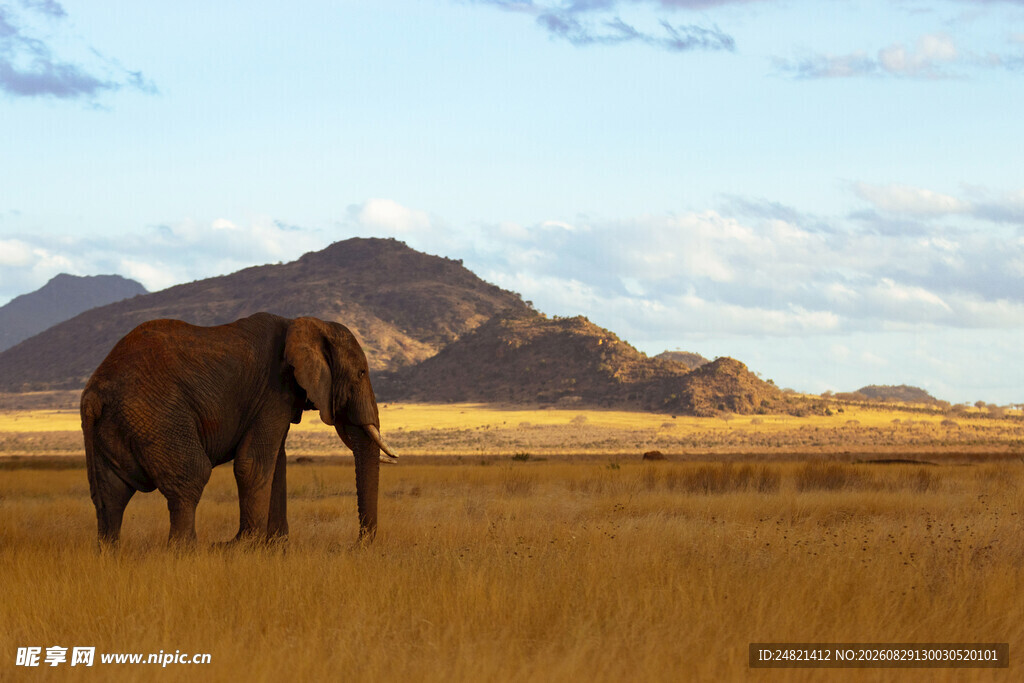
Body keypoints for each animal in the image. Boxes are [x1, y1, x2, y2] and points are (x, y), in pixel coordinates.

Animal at [80, 312, 397, 548]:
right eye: (361, 373)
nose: (355, 545)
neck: (306, 323)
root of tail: (95, 393)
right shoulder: (273, 391)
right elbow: (254, 464)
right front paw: (244, 547)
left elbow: (276, 464)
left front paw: (276, 549)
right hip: (157, 416)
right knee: (192, 477)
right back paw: (188, 552)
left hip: (115, 425)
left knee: (110, 495)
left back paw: (111, 556)